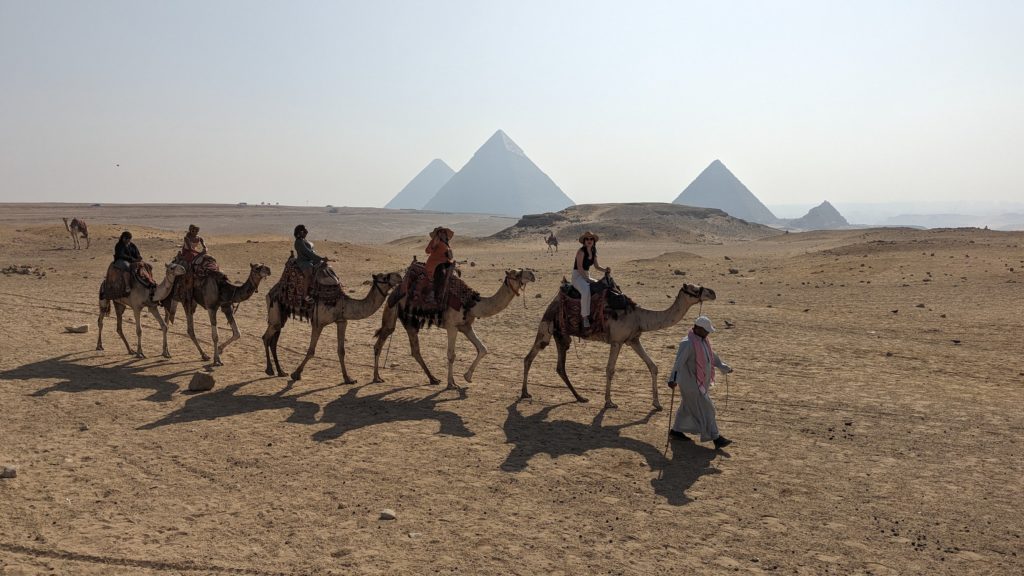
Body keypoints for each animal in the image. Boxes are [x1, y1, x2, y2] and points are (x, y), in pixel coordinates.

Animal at [264, 268, 403, 381]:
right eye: (384, 277)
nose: (399, 276)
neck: (344, 304)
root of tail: (271, 291)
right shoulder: (318, 323)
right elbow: (311, 351)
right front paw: (296, 374)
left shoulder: (342, 321)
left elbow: (341, 351)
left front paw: (348, 378)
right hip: (275, 307)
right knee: (266, 337)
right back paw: (270, 370)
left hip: (282, 313)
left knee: (273, 339)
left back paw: (280, 372)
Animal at [374, 266, 540, 387]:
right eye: (516, 274)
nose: (532, 275)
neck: (472, 304)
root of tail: (394, 291)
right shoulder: (452, 327)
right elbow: (451, 355)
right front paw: (451, 384)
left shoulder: (466, 326)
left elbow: (482, 349)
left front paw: (467, 377)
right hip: (397, 313)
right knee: (383, 340)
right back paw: (377, 377)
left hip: (409, 321)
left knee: (414, 350)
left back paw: (433, 379)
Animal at [524, 278, 716, 407]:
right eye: (694, 289)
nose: (712, 292)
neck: (639, 317)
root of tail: (554, 300)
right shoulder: (616, 341)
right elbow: (610, 370)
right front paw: (609, 402)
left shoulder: (633, 340)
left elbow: (653, 366)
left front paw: (657, 403)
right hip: (548, 328)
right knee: (532, 357)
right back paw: (525, 393)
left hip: (561, 335)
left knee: (556, 365)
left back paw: (579, 397)